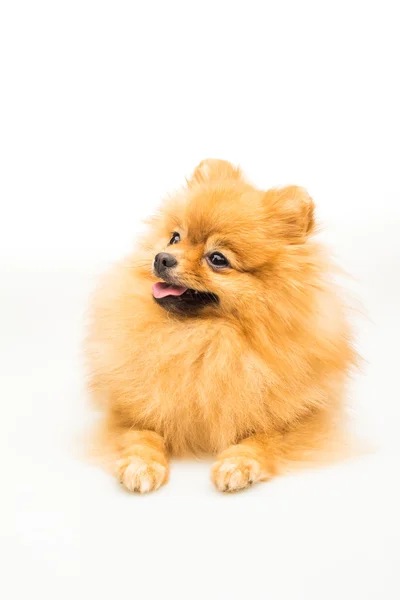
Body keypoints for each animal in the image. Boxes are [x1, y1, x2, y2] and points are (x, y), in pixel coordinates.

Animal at [86, 158, 354, 492]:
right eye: (175, 238)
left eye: (217, 259)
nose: (162, 258)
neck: (202, 337)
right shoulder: (127, 411)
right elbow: (139, 435)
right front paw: (141, 464)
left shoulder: (304, 420)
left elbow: (266, 438)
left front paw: (238, 463)